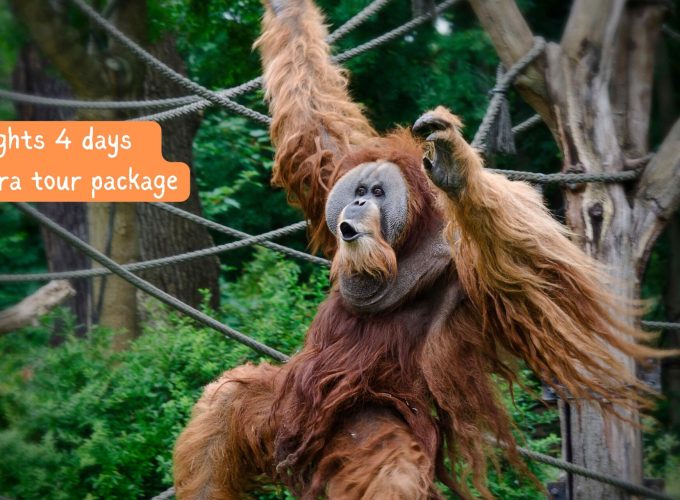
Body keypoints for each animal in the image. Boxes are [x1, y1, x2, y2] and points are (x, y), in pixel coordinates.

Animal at [173, 0, 665, 498]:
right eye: (358, 189)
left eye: (376, 192)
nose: (356, 202)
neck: (407, 243)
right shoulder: (333, 169)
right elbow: (311, 115)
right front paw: (285, 9)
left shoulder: (464, 265)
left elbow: (547, 276)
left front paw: (456, 164)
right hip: (283, 409)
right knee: (223, 407)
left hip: (350, 422)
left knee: (390, 472)